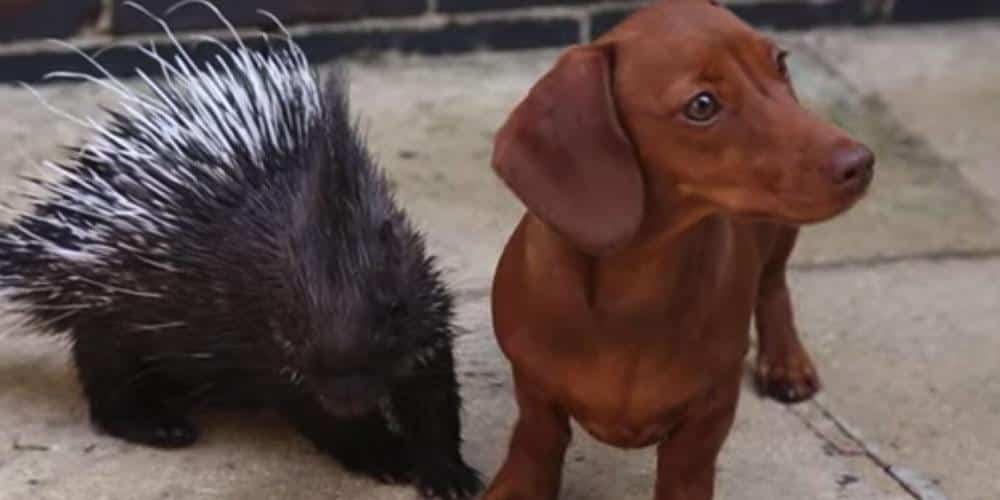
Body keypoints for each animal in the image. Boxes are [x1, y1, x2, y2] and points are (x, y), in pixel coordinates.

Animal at [484, 1, 876, 498]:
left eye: (780, 63)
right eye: (702, 105)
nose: (862, 162)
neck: (635, 290)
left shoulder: (708, 413)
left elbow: (686, 471)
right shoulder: (534, 387)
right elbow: (537, 439)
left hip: (777, 231)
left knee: (772, 283)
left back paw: (786, 361)